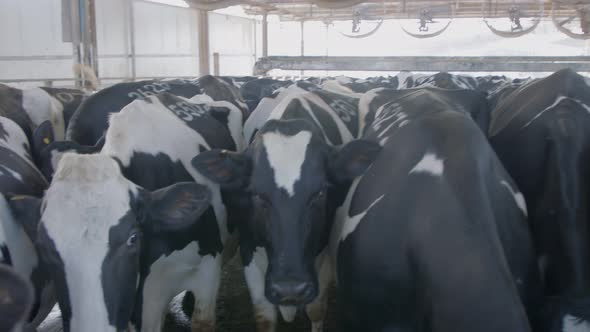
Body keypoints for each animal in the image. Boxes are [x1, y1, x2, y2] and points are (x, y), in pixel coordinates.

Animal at [192, 87, 382, 330]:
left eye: (320, 192)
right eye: (256, 193)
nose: (289, 289)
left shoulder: (324, 253)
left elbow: (316, 309)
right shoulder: (249, 249)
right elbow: (265, 317)